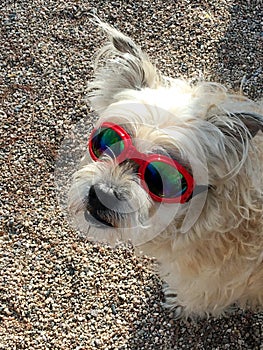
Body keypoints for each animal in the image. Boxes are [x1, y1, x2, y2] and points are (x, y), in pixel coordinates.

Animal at [68, 19, 263, 320]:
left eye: (163, 178)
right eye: (106, 141)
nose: (102, 194)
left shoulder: (213, 282)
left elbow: (197, 297)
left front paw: (181, 304)